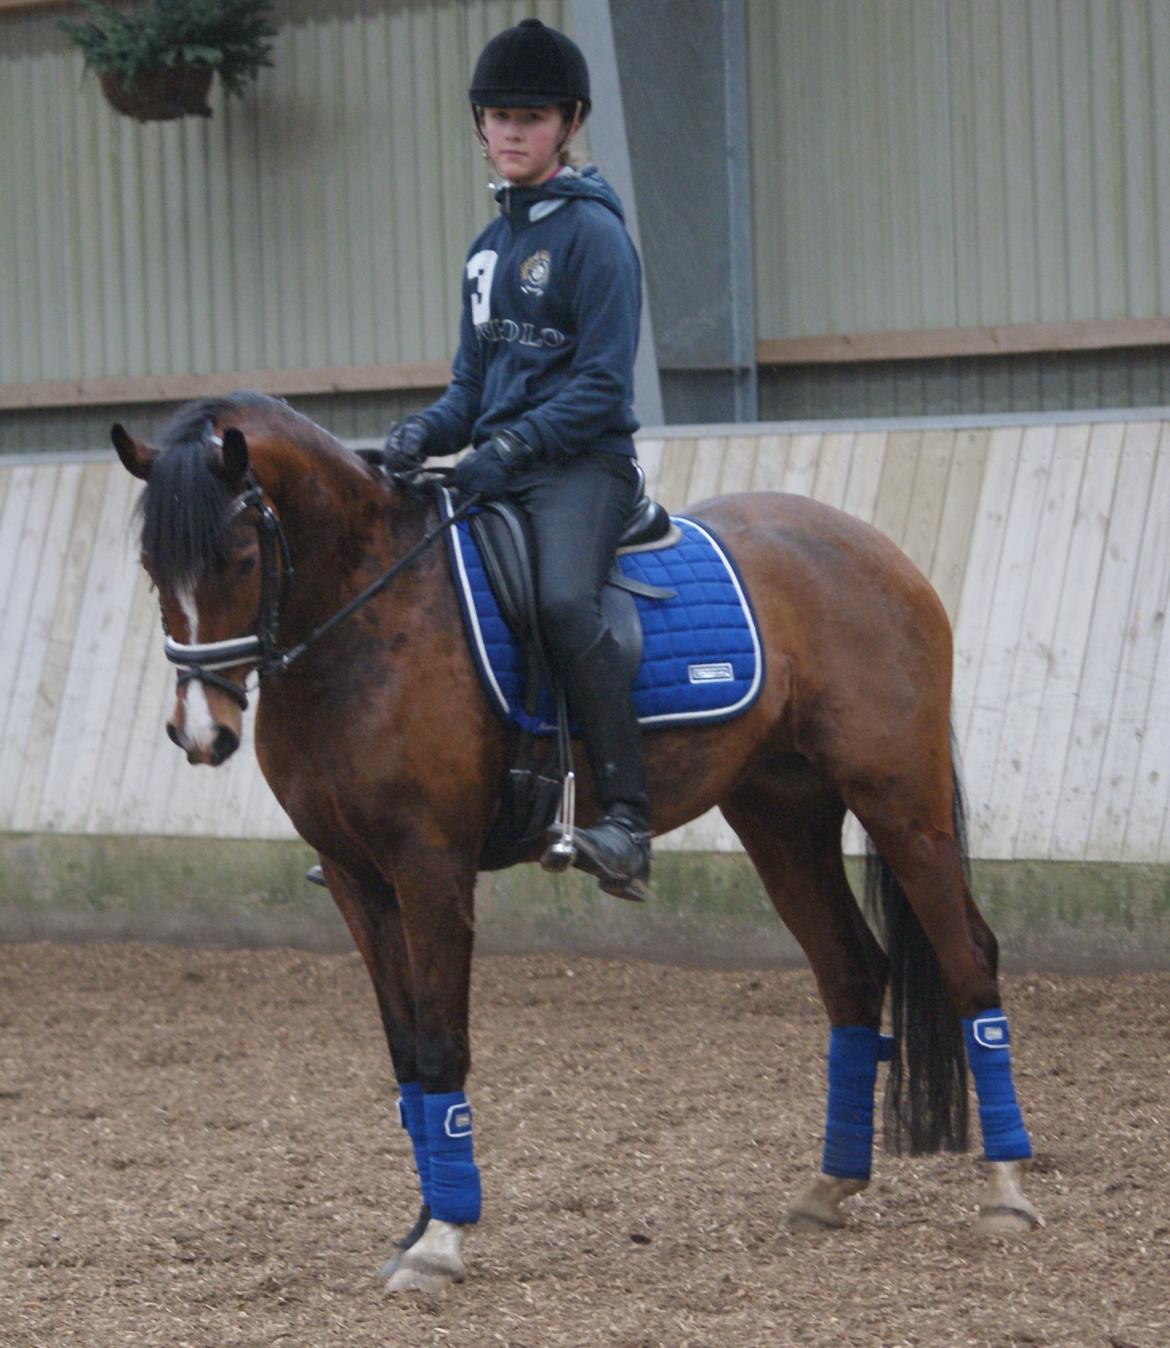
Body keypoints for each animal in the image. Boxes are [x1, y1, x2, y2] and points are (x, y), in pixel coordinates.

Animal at [111, 390, 1040, 1294]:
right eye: (153, 567)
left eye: (240, 559)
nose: (200, 733)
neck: (366, 613)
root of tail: (875, 548)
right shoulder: (354, 877)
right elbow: (407, 1051)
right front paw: (418, 1226)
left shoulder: (430, 865)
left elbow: (442, 1043)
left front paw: (440, 1242)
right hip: (782, 817)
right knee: (851, 971)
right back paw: (829, 1187)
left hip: (899, 800)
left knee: (969, 959)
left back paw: (1005, 1193)